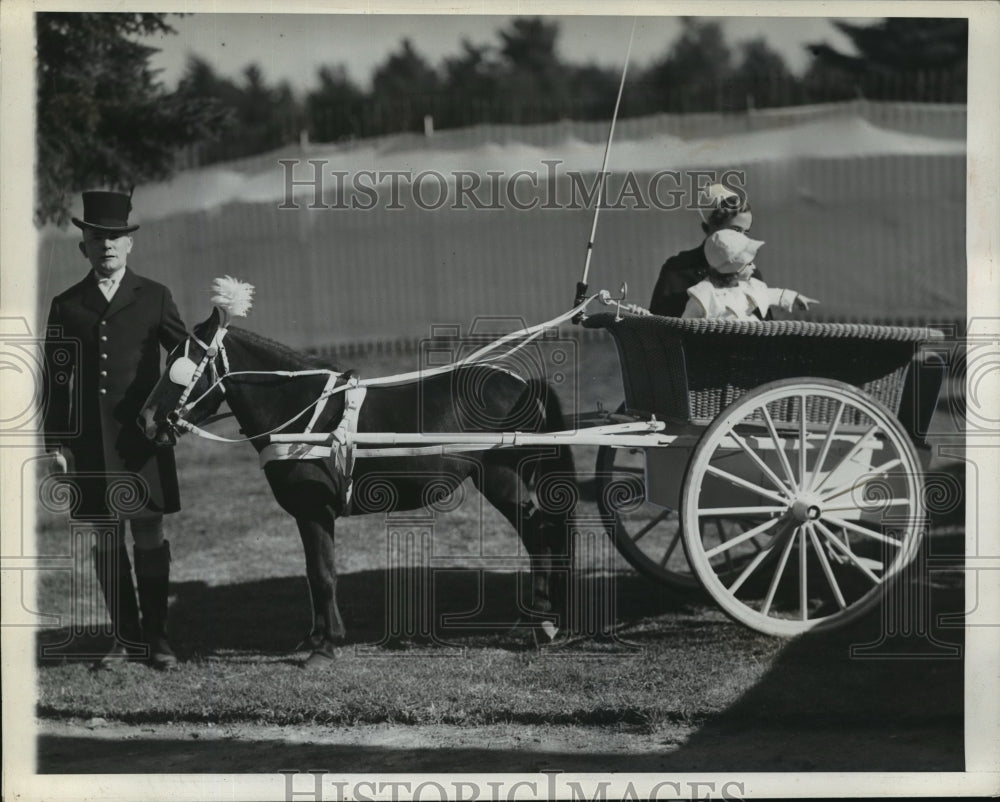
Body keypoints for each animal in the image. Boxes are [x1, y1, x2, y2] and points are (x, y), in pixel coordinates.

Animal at [141, 278, 580, 664]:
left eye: (181, 364)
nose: (144, 420)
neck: (303, 414)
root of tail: (523, 383)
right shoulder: (309, 513)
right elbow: (313, 570)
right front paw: (315, 636)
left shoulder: (314, 509)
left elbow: (323, 573)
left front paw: (325, 646)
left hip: (502, 479)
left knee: (538, 536)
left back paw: (539, 624)